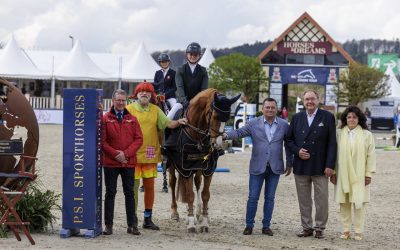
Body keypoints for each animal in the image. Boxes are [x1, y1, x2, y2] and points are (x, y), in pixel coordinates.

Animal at [163, 88, 239, 232]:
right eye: (215, 116)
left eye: (227, 119)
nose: (218, 145)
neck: (196, 134)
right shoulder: (185, 168)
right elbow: (189, 195)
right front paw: (191, 224)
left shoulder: (209, 169)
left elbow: (205, 194)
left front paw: (204, 222)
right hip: (172, 164)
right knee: (173, 182)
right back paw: (175, 213)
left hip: (198, 167)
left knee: (197, 183)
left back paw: (197, 214)